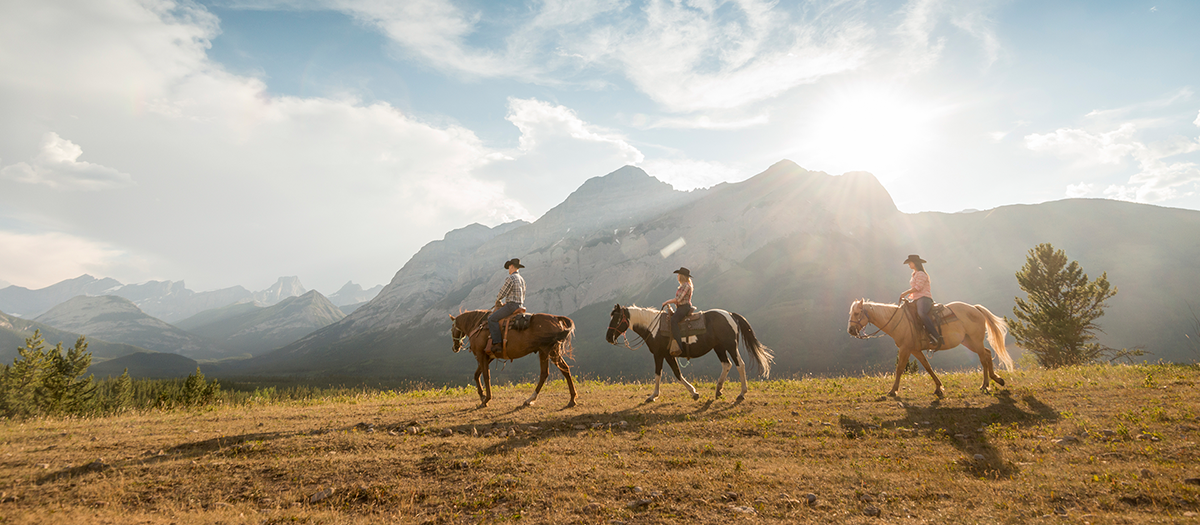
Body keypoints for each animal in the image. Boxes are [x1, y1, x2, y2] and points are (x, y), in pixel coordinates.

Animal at [604, 303, 772, 402]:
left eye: (616, 318)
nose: (608, 338)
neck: (654, 327)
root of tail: (730, 314)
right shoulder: (665, 355)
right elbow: (668, 373)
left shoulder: (661, 355)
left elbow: (670, 373)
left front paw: (654, 395)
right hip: (719, 348)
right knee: (727, 365)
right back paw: (718, 390)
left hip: (730, 346)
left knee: (739, 365)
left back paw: (742, 393)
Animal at [844, 299, 1012, 397]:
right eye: (850, 312)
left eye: (857, 313)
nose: (850, 331)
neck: (899, 320)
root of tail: (975, 308)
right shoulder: (915, 350)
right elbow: (927, 367)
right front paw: (938, 387)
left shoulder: (906, 348)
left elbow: (900, 369)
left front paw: (893, 390)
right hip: (969, 341)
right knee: (987, 354)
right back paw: (996, 380)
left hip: (975, 340)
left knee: (983, 358)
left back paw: (985, 385)